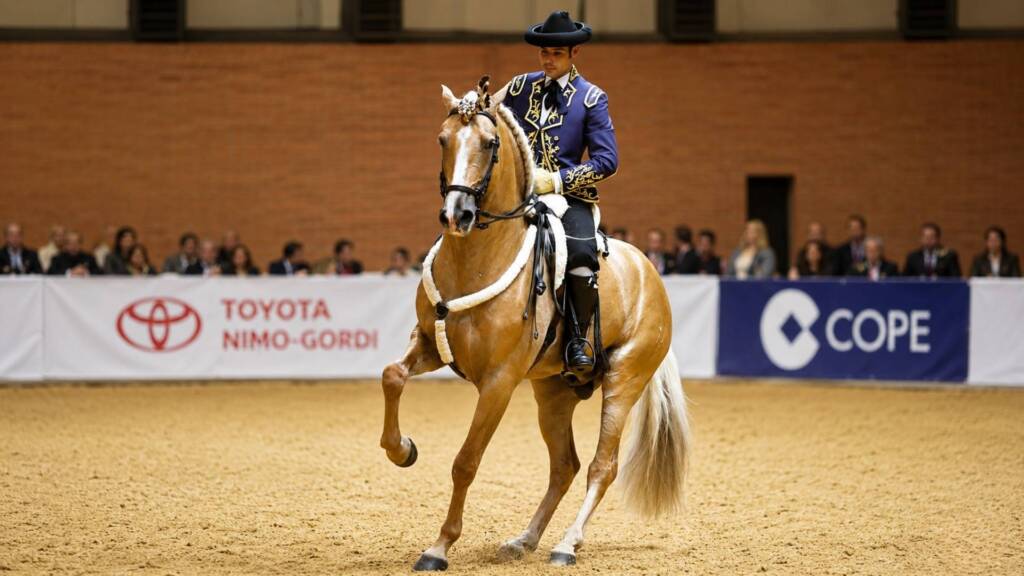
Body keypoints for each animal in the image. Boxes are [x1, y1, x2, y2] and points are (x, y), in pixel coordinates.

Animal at [379, 77, 691, 571]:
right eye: (442, 139)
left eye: (490, 144)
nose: (456, 215)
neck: (476, 259)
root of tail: (650, 273)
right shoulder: (430, 343)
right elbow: (392, 375)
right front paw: (402, 449)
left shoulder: (499, 382)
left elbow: (466, 461)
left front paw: (440, 547)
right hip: (553, 393)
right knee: (565, 465)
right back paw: (524, 539)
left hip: (624, 381)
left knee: (602, 466)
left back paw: (567, 544)